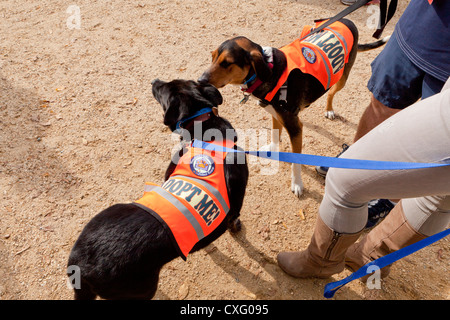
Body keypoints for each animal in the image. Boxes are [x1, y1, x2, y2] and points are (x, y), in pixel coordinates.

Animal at [67, 79, 250, 298]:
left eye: (163, 89)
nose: (155, 81)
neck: (204, 128)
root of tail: (81, 267)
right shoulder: (235, 204)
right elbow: (233, 220)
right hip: (145, 288)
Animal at [199, 19, 388, 198]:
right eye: (212, 57)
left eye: (226, 63)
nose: (200, 80)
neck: (271, 70)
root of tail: (348, 21)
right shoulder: (276, 114)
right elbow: (276, 135)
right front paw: (271, 149)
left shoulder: (295, 128)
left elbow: (296, 162)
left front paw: (297, 183)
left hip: (341, 77)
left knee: (331, 93)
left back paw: (329, 109)